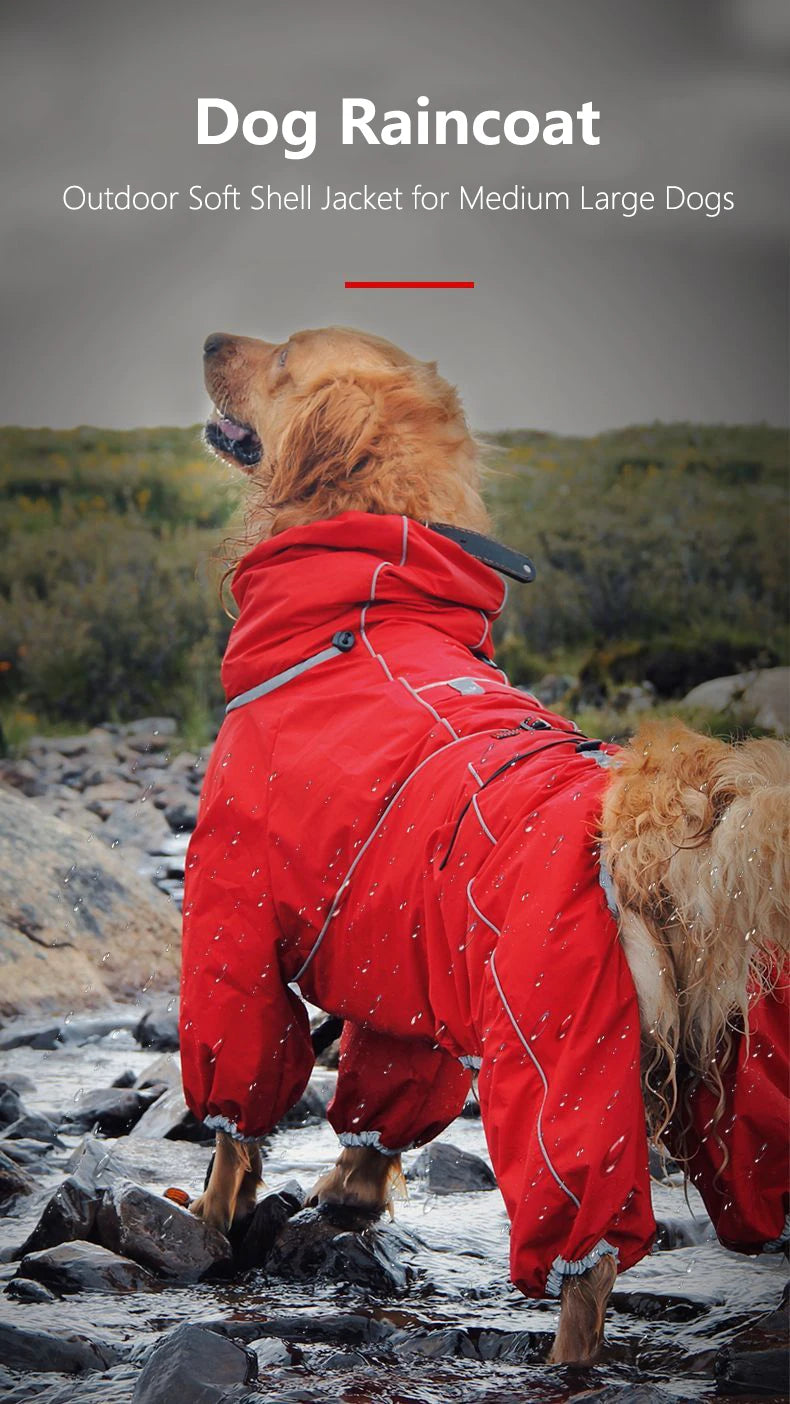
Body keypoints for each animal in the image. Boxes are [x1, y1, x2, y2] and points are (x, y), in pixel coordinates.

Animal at [181, 325, 790, 1359]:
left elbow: (239, 1108)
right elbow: (378, 1102)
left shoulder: (235, 913)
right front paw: (347, 1195)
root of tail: (652, 826)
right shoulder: (402, 957)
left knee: (587, 1258)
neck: (369, 603)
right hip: (743, 1096)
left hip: (557, 1071)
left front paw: (215, 1222)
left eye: (283, 357)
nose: (212, 338)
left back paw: (565, 1356)